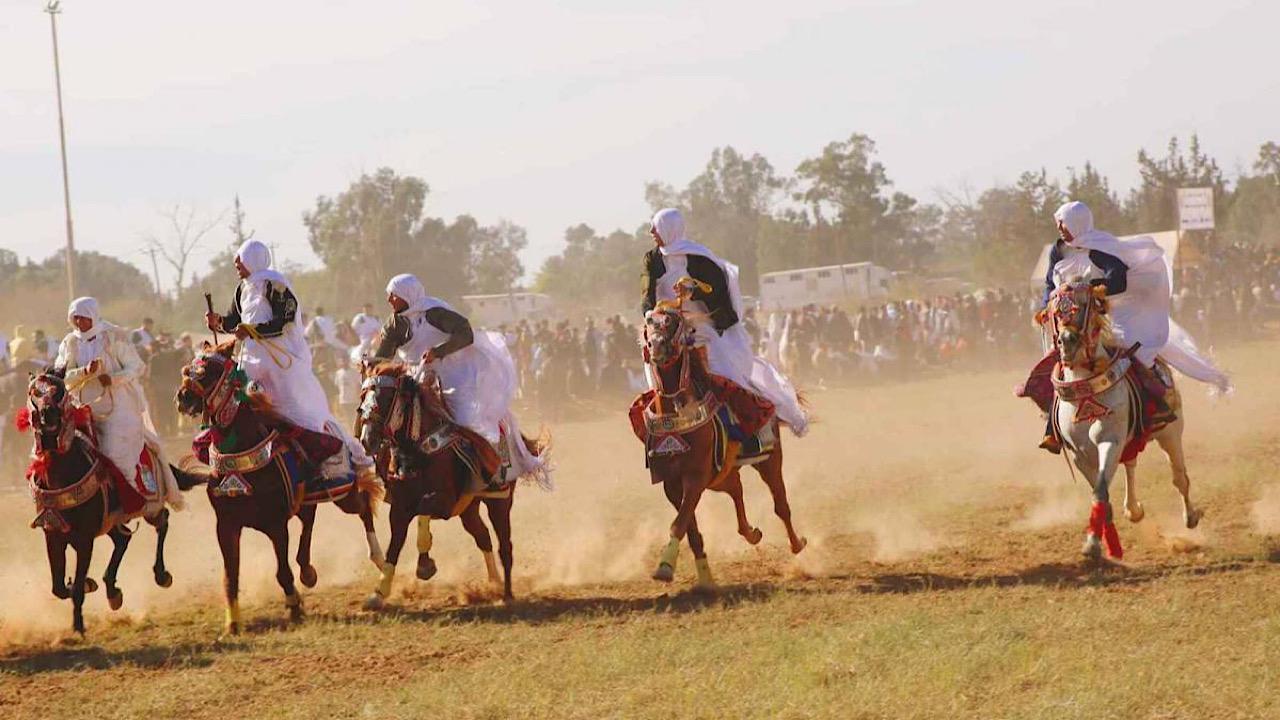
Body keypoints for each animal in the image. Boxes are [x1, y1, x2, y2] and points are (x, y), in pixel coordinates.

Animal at [24, 366, 199, 630]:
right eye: (34, 392)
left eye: (59, 390)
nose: (48, 416)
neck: (61, 474)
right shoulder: (53, 534)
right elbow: (58, 587)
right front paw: (89, 584)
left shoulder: (85, 539)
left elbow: (76, 588)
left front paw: (78, 625)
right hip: (109, 522)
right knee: (122, 540)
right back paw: (112, 591)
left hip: (150, 505)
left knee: (162, 521)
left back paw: (161, 575)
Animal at [177, 338, 381, 630]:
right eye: (187, 368)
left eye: (208, 371)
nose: (183, 397)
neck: (241, 449)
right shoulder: (226, 525)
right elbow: (231, 575)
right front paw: (233, 622)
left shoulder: (275, 524)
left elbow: (282, 571)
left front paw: (294, 606)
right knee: (309, 520)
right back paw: (308, 571)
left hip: (344, 495)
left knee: (363, 507)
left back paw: (377, 556)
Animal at [355, 361, 540, 602]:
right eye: (363, 397)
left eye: (386, 397)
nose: (367, 440)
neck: (418, 452)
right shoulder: (400, 507)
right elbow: (394, 545)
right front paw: (379, 592)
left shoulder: (444, 501)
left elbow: (424, 508)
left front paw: (424, 565)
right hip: (468, 509)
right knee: (483, 537)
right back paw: (494, 582)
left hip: (499, 502)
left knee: (505, 546)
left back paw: (507, 593)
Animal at [640, 278, 808, 586]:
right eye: (649, 323)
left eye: (672, 323)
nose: (656, 347)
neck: (676, 411)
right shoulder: (672, 482)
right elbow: (690, 529)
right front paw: (703, 577)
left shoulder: (695, 476)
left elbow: (679, 523)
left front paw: (665, 567)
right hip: (721, 474)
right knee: (737, 490)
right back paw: (752, 533)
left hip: (769, 460)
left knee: (780, 503)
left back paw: (796, 543)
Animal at [1044, 280, 1203, 561]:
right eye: (1055, 311)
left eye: (1084, 305)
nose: (1067, 341)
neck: (1086, 389)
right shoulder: (1079, 454)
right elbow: (1102, 494)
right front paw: (1100, 544)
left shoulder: (1110, 441)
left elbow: (1100, 491)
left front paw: (1094, 545)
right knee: (1131, 464)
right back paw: (1134, 510)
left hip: (1171, 433)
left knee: (1179, 477)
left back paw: (1191, 517)